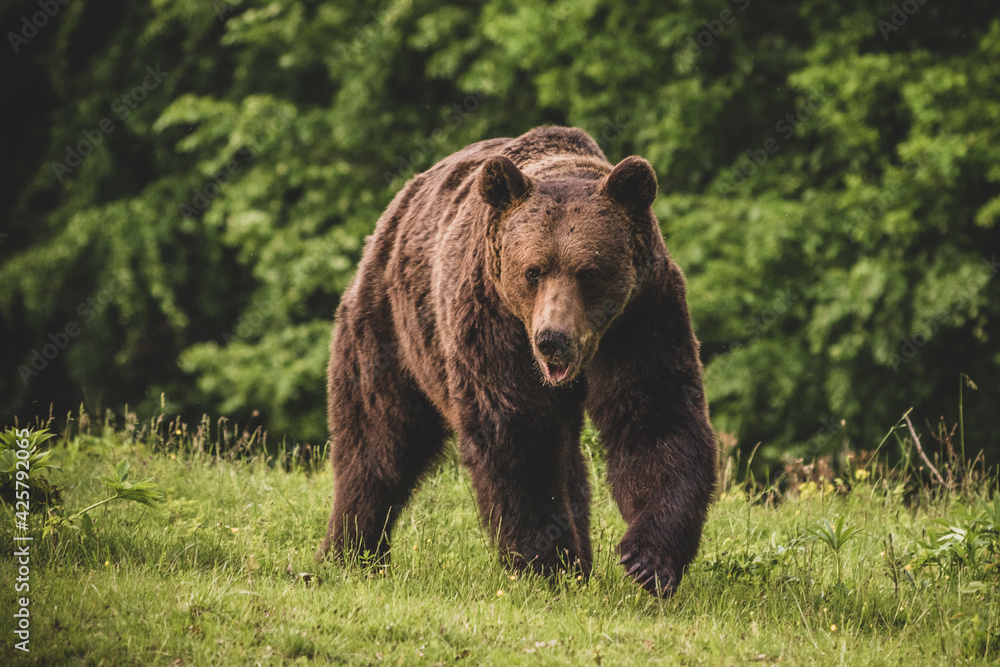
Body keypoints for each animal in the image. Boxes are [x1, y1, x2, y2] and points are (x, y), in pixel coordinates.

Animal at [316, 128, 716, 596]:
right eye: (533, 271)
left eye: (589, 271)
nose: (552, 340)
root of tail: (395, 210)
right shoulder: (491, 323)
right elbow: (516, 431)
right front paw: (547, 564)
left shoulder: (642, 319)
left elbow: (655, 418)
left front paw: (647, 560)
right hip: (393, 329)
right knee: (378, 440)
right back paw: (351, 552)